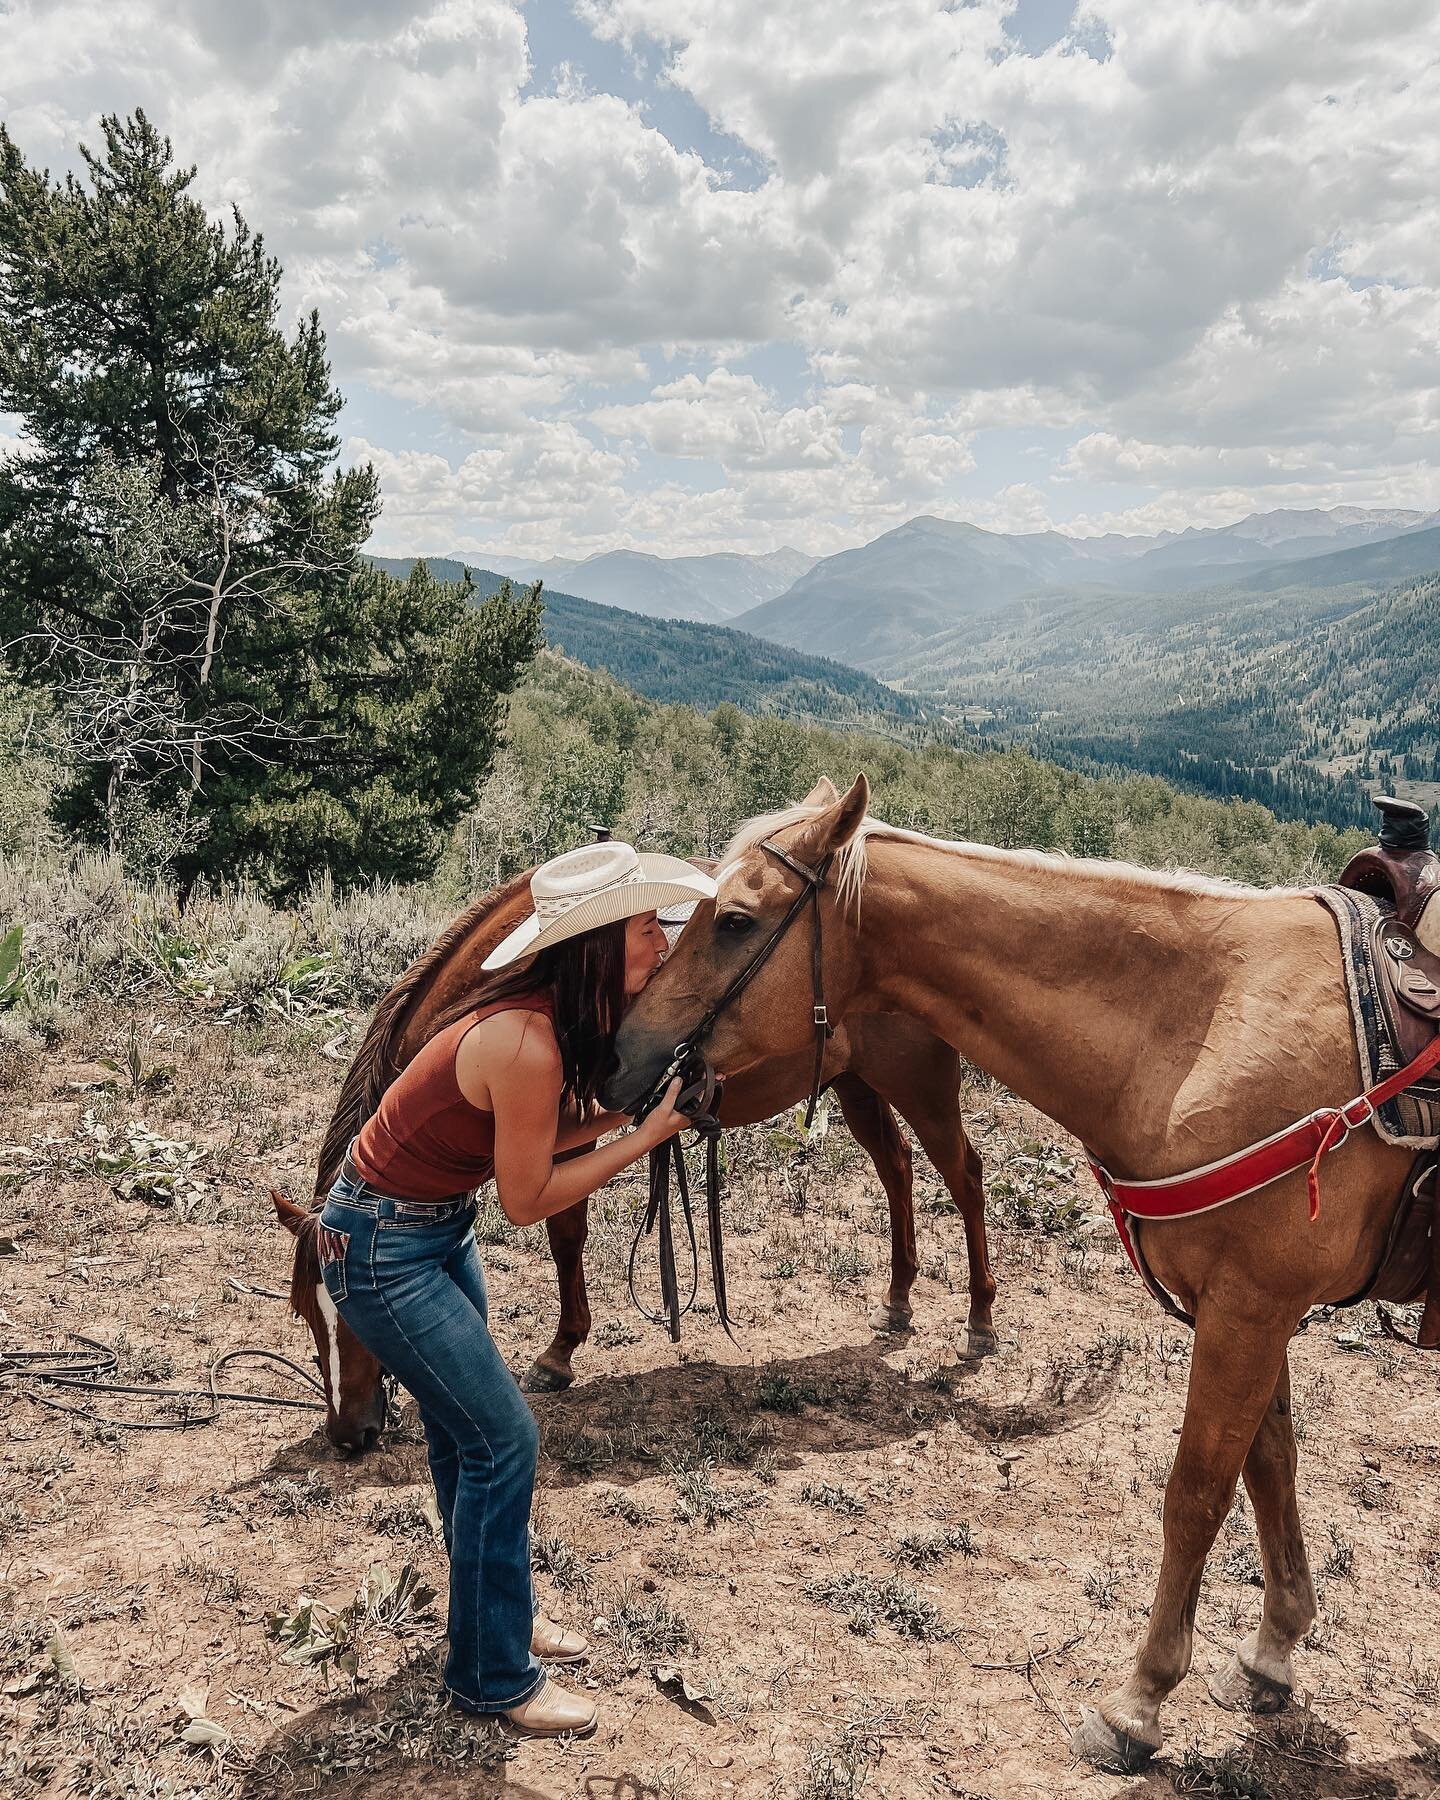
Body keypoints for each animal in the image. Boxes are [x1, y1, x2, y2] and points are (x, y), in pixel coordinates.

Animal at [266, 781, 993, 1454]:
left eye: (354, 1310)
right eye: (305, 1311)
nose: (348, 1433)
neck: (535, 974)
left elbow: (565, 1233)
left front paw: (559, 1353)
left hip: (918, 1083)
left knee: (964, 1175)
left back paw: (980, 1318)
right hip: (855, 1084)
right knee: (896, 1168)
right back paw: (898, 1299)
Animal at [601, 774, 1425, 1771]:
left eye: (733, 920)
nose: (620, 1055)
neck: (1208, 1023)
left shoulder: (1251, 1308)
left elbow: (1195, 1494)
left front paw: (1137, 1704)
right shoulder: (1248, 1310)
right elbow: (1271, 1468)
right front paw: (1271, 1653)